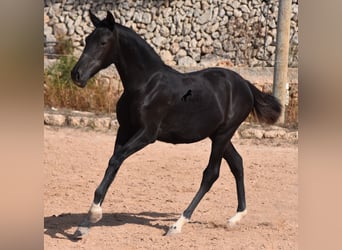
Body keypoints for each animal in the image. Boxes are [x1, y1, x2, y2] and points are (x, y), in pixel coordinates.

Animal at [70, 10, 280, 237]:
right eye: (87, 40)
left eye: (103, 42)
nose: (77, 75)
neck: (145, 85)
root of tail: (246, 85)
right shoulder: (124, 130)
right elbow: (114, 163)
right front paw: (84, 225)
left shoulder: (147, 134)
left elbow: (116, 159)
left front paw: (93, 214)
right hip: (217, 135)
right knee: (237, 163)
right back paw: (235, 217)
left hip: (224, 134)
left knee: (211, 174)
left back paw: (177, 224)